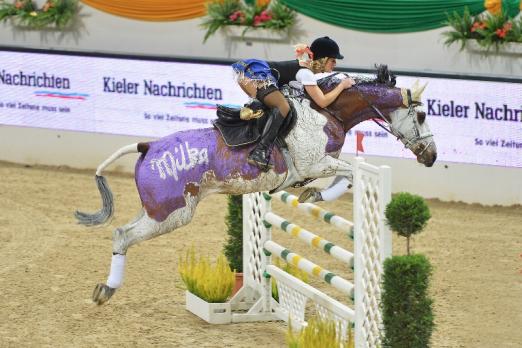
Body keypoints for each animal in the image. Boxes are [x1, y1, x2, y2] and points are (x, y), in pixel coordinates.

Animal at [75, 65, 434, 304]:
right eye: (420, 116)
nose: (431, 156)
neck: (326, 111)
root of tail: (147, 147)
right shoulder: (316, 163)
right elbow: (348, 174)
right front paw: (314, 192)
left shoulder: (321, 163)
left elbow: (344, 175)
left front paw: (312, 192)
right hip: (172, 214)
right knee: (124, 236)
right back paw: (106, 290)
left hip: (156, 209)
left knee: (122, 230)